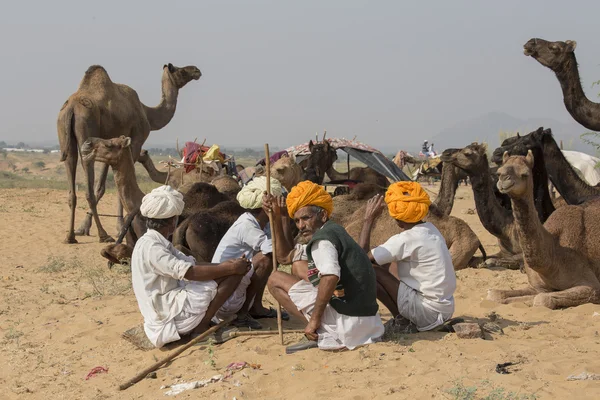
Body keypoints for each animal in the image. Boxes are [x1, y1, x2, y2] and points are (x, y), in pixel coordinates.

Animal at [57, 63, 200, 244]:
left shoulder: (109, 145)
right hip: (86, 128)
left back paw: (70, 236)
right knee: (87, 183)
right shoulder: (136, 141)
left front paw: (83, 228)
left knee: (71, 175)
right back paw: (103, 234)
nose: (196, 70)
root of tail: (71, 108)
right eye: (180, 70)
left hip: (65, 135)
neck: (147, 113)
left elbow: (101, 187)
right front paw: (119, 227)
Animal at [488, 151, 600, 310]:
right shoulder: (537, 286)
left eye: (524, 174)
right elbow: (495, 294)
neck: (553, 253)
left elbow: (541, 299)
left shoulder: (591, 285)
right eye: (498, 172)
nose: (503, 180)